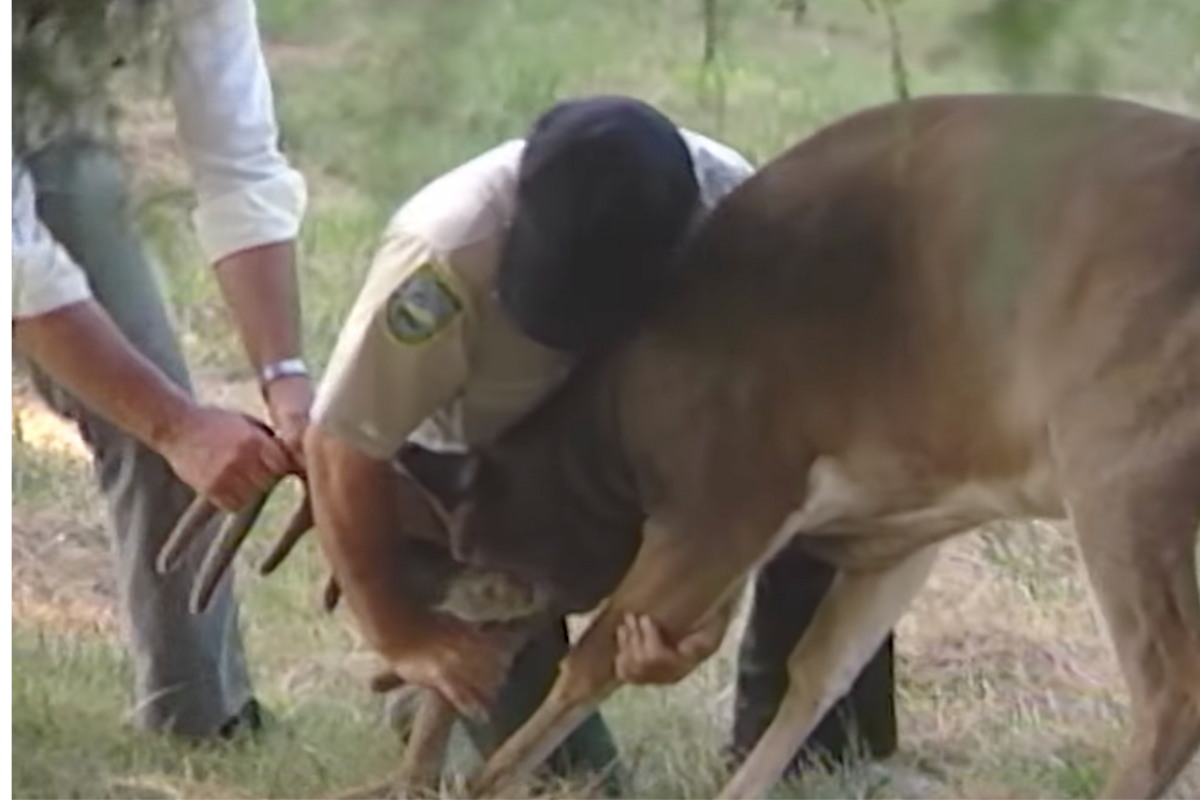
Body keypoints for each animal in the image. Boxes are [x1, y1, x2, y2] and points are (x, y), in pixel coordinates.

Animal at [162, 89, 1200, 800]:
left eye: (465, 540)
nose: (454, 617)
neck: (617, 423)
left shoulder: (727, 494)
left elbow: (594, 662)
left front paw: (487, 775)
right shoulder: (907, 526)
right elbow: (814, 673)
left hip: (1121, 462)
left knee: (1171, 690)